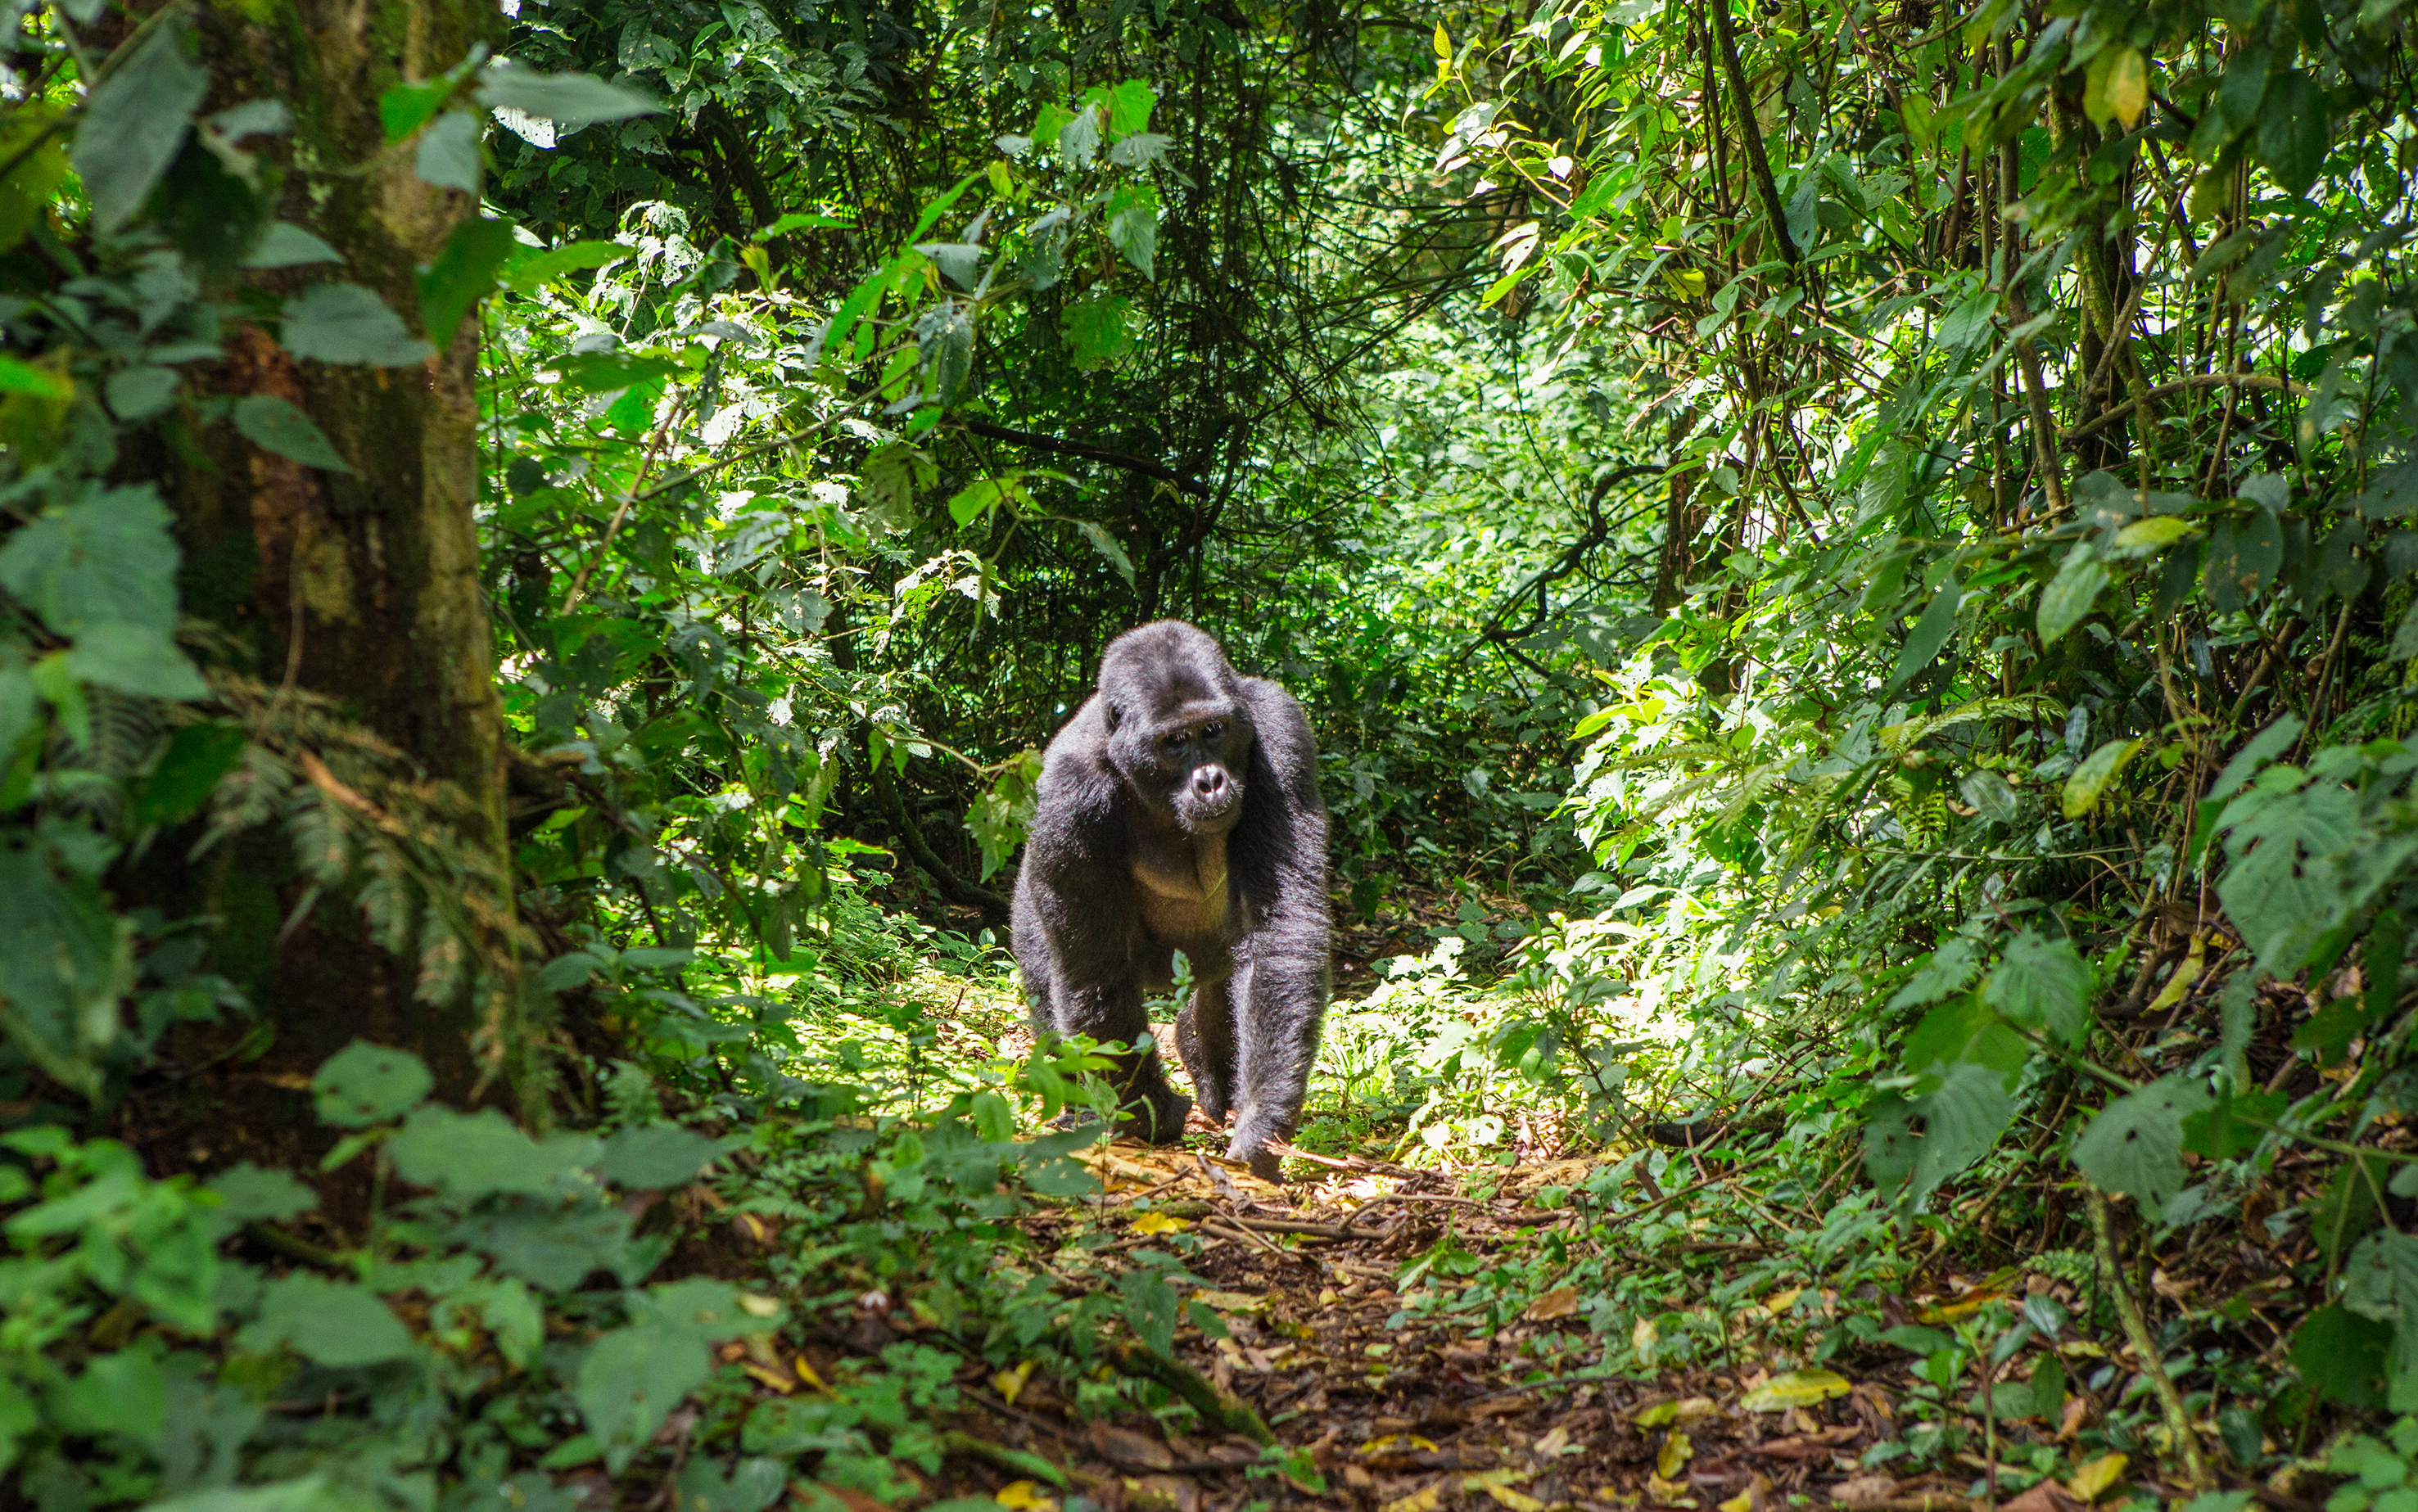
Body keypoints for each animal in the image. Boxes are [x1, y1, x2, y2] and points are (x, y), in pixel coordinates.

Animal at [1011, 621, 1331, 1181]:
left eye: (1214, 731)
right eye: (1174, 742)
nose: (1211, 781)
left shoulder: (1280, 730)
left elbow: (1280, 930)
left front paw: (1262, 1120)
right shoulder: (1068, 794)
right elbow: (1096, 970)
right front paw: (1148, 1116)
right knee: (1049, 978)